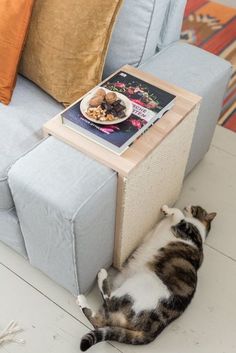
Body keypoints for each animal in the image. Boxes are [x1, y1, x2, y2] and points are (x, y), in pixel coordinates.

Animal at [77, 204, 216, 350]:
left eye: (196, 207)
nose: (188, 205)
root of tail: (155, 331)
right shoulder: (152, 233)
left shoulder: (186, 230)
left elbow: (179, 214)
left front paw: (166, 209)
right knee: (99, 321)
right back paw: (82, 301)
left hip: (140, 283)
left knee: (108, 301)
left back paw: (100, 277)